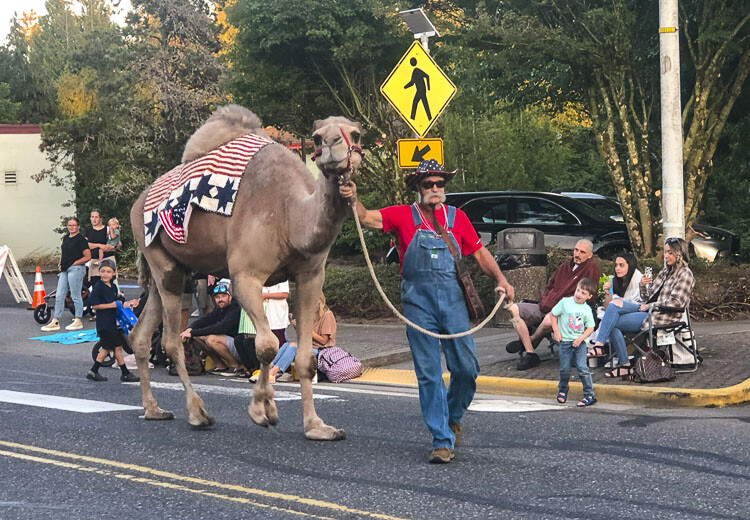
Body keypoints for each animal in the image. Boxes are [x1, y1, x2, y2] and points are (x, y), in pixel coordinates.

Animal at [129, 104, 364, 438]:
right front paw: (262, 411)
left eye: (356, 134)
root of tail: (137, 204)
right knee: (171, 340)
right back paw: (198, 413)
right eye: (317, 137)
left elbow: (305, 357)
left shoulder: (310, 276)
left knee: (140, 334)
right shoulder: (245, 275)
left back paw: (154, 409)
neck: (289, 215)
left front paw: (317, 427)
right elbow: (266, 345)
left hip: (173, 269)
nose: (333, 144)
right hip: (162, 262)